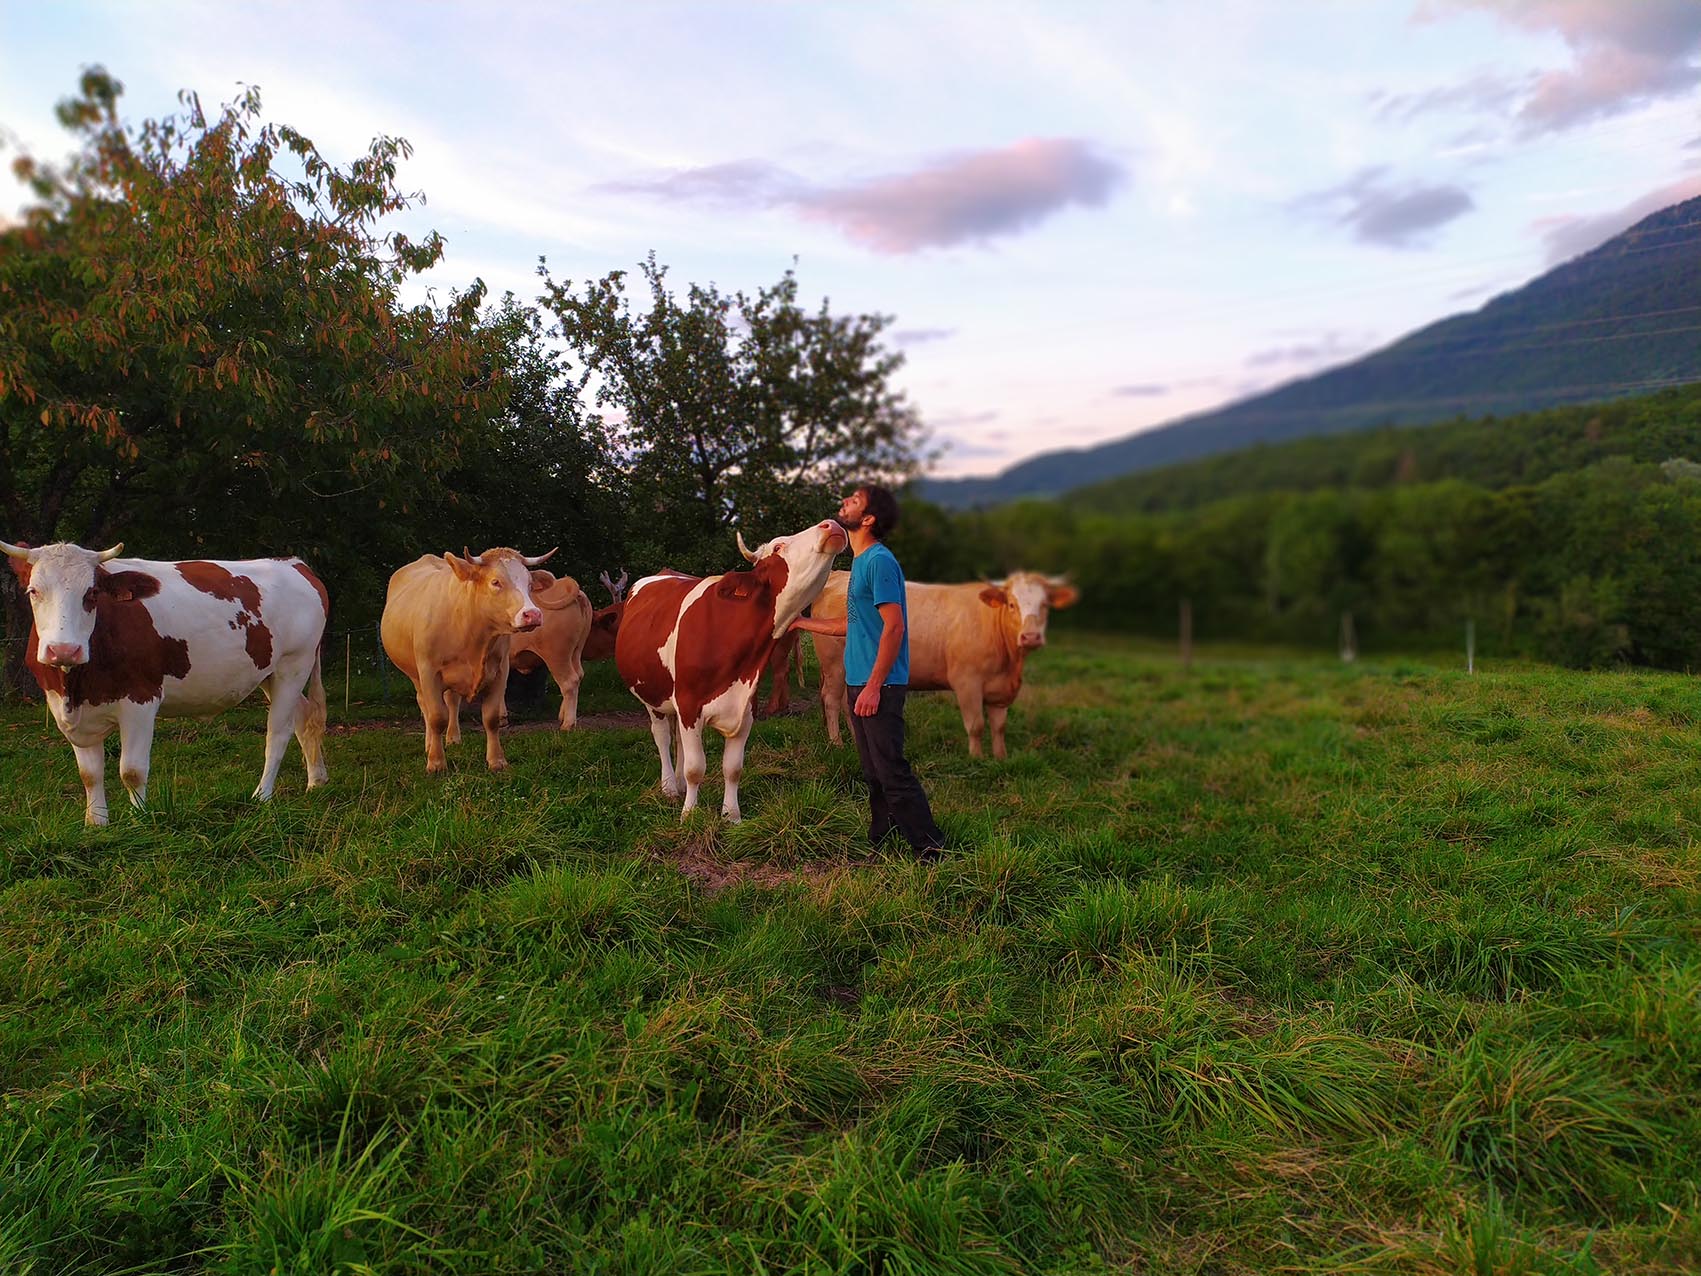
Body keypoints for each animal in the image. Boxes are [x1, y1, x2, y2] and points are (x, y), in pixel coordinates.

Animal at [3, 541, 329, 830]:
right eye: (33, 591)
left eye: (92, 593)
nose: (64, 650)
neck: (76, 686)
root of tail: (293, 563)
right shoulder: (68, 710)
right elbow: (89, 774)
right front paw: (96, 825)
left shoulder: (141, 700)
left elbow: (132, 771)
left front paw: (138, 821)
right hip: (270, 675)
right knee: (304, 718)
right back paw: (316, 781)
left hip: (293, 666)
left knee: (278, 733)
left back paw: (262, 796)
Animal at [379, 544, 551, 775]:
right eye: (495, 582)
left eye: (530, 583)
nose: (532, 614)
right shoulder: (428, 672)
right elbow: (436, 717)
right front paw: (436, 763)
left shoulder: (500, 671)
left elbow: (491, 718)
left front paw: (496, 761)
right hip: (415, 674)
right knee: (424, 705)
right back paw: (429, 744)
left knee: (452, 701)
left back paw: (453, 738)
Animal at [615, 520, 847, 830]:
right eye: (778, 546)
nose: (831, 524)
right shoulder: (689, 704)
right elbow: (695, 768)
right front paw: (689, 814)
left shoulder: (745, 707)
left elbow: (733, 767)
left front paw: (731, 815)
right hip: (654, 695)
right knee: (662, 737)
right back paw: (670, 787)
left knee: (678, 741)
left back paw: (677, 784)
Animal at [806, 568, 1075, 758]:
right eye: (1012, 604)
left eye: (1045, 604)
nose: (1031, 636)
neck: (1010, 663)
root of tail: (837, 575)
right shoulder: (967, 682)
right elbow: (976, 725)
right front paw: (977, 760)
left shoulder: (1000, 689)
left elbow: (999, 727)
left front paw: (1001, 759)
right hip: (833, 664)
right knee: (831, 700)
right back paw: (837, 744)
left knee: (846, 702)